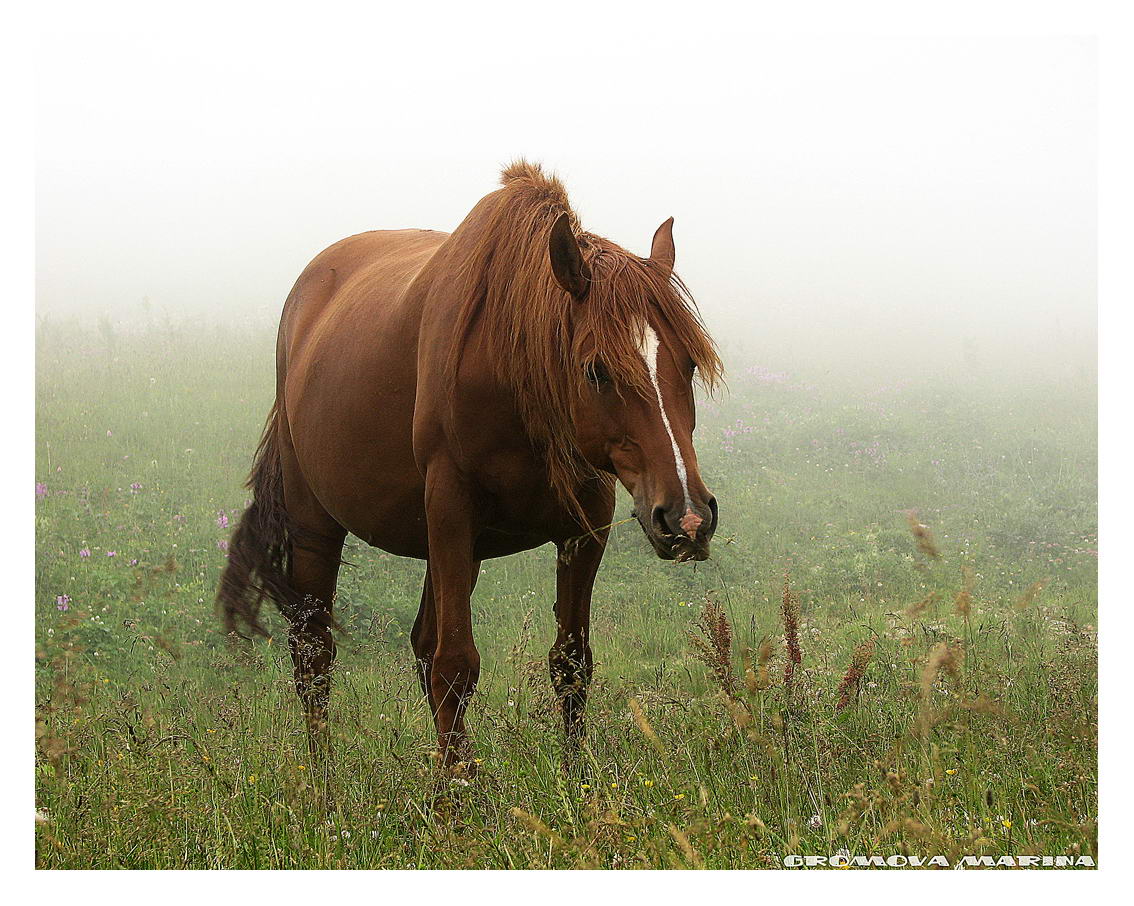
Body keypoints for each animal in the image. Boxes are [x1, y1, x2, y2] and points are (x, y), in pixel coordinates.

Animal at [216, 161, 721, 766]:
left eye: (687, 364)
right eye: (595, 370)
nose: (687, 518)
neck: (512, 378)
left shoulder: (583, 531)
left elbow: (570, 662)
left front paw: (575, 782)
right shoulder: (452, 515)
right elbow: (455, 666)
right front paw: (459, 792)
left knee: (419, 644)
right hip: (317, 523)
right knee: (314, 654)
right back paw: (325, 783)